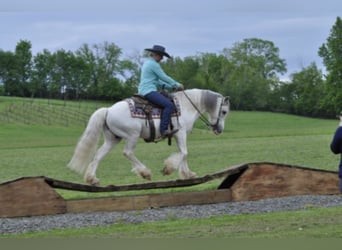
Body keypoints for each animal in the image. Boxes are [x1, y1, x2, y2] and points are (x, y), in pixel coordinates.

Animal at [67, 89, 230, 185]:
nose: (219, 130)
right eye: (224, 112)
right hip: (132, 135)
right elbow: (184, 153)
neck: (186, 106)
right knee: (128, 153)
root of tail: (108, 110)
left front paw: (188, 174)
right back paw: (145, 172)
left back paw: (92, 178)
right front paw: (168, 168)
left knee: (99, 155)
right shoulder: (180, 133)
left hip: (112, 139)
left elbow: (183, 153)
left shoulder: (178, 135)